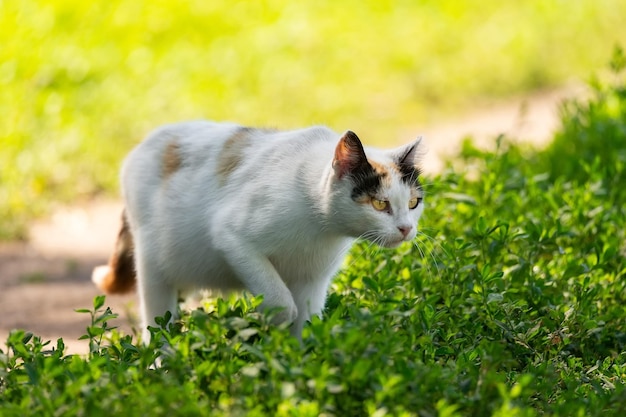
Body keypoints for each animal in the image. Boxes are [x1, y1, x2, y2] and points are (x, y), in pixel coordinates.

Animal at [91, 120, 424, 342]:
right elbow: (282, 303)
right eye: (379, 204)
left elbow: (305, 323)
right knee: (156, 326)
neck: (320, 228)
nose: (406, 228)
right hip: (154, 269)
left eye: (413, 202)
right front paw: (266, 327)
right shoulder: (232, 237)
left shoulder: (312, 282)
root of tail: (143, 144)